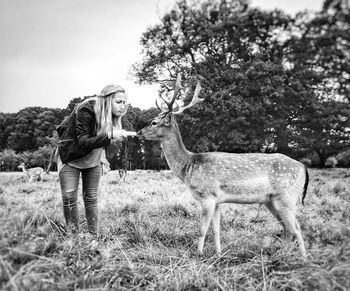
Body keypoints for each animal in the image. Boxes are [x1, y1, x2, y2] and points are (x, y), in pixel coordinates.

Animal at [138, 74, 308, 258]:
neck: (188, 167)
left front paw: (199, 254)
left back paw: (303, 259)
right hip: (272, 200)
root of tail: (303, 168)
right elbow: (216, 230)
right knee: (286, 228)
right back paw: (280, 255)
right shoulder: (217, 200)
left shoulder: (207, 196)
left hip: (287, 197)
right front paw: (219, 254)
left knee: (296, 228)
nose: (139, 132)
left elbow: (202, 229)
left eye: (154, 122)